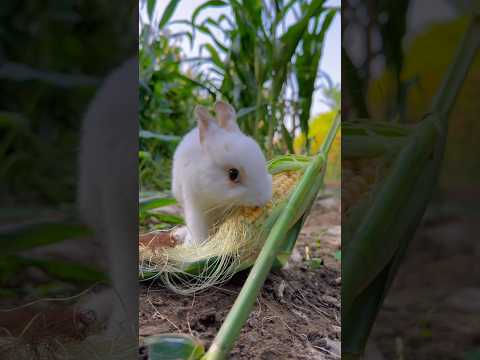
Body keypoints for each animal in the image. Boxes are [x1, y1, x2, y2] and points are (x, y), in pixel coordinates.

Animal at [172, 102, 270, 246]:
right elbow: (198, 229)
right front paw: (197, 244)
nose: (264, 199)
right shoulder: (194, 205)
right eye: (233, 174)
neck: (217, 200)